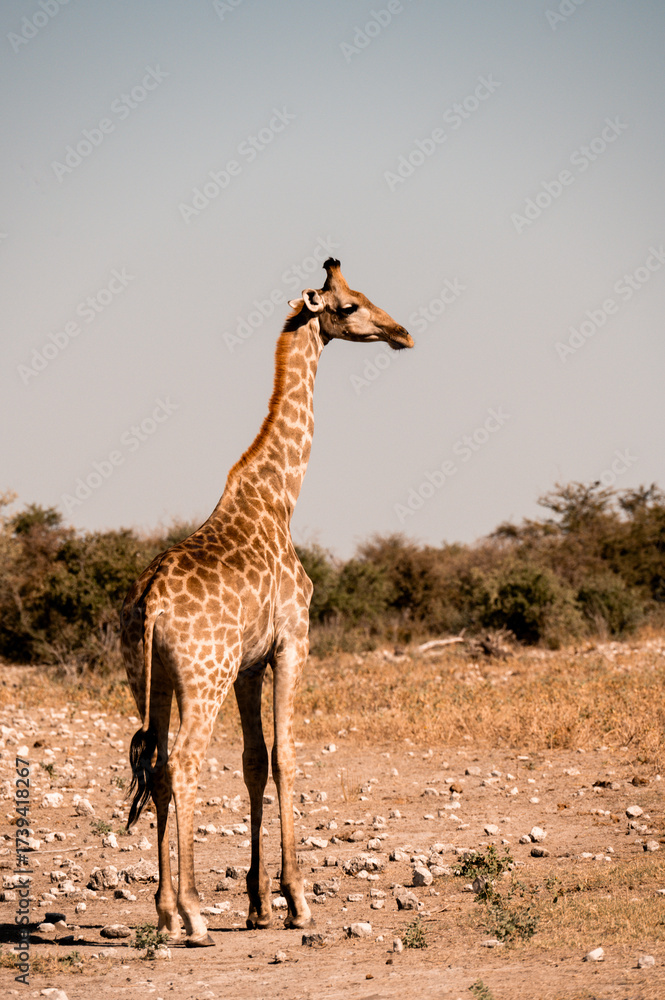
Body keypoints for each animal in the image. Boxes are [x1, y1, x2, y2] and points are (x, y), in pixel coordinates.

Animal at [120, 257, 413, 946]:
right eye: (351, 305)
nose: (402, 333)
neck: (281, 497)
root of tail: (150, 606)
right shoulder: (291, 643)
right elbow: (285, 757)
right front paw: (297, 899)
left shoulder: (249, 665)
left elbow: (254, 760)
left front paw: (257, 904)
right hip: (202, 675)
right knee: (184, 763)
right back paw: (193, 914)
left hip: (151, 677)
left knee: (158, 762)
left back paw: (165, 912)